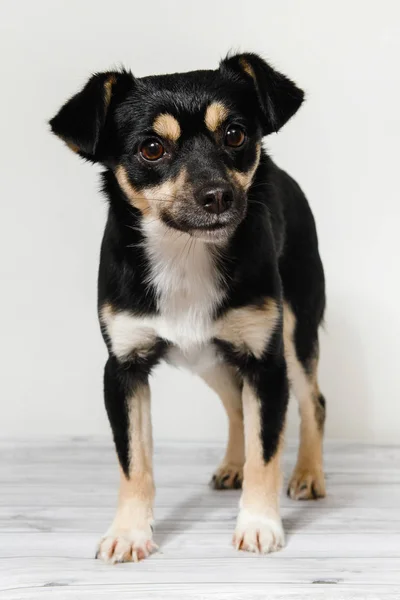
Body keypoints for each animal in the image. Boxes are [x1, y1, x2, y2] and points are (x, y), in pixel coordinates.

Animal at [50, 51, 326, 564]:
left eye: (235, 134)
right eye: (151, 148)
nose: (217, 195)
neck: (185, 253)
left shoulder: (266, 364)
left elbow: (266, 452)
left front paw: (259, 524)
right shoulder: (123, 370)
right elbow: (133, 462)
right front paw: (129, 533)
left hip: (295, 338)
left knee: (312, 402)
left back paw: (309, 474)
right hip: (209, 358)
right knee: (237, 407)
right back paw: (233, 466)